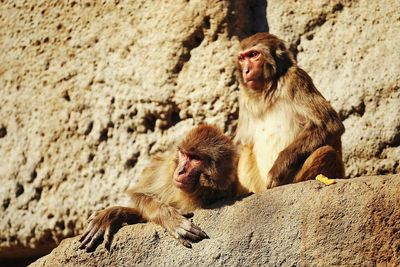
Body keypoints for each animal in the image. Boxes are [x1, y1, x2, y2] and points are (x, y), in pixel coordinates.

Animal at [77, 124, 241, 252]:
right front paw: (172, 219)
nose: (180, 171)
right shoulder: (167, 175)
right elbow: (138, 195)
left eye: (195, 159)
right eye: (183, 154)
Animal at [236, 32, 346, 194]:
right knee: (245, 148)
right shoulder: (244, 100)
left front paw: (276, 171)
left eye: (253, 55)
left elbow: (329, 124)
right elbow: (241, 143)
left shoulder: (296, 78)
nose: (246, 71)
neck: (268, 90)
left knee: (327, 152)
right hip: (259, 185)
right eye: (242, 58)